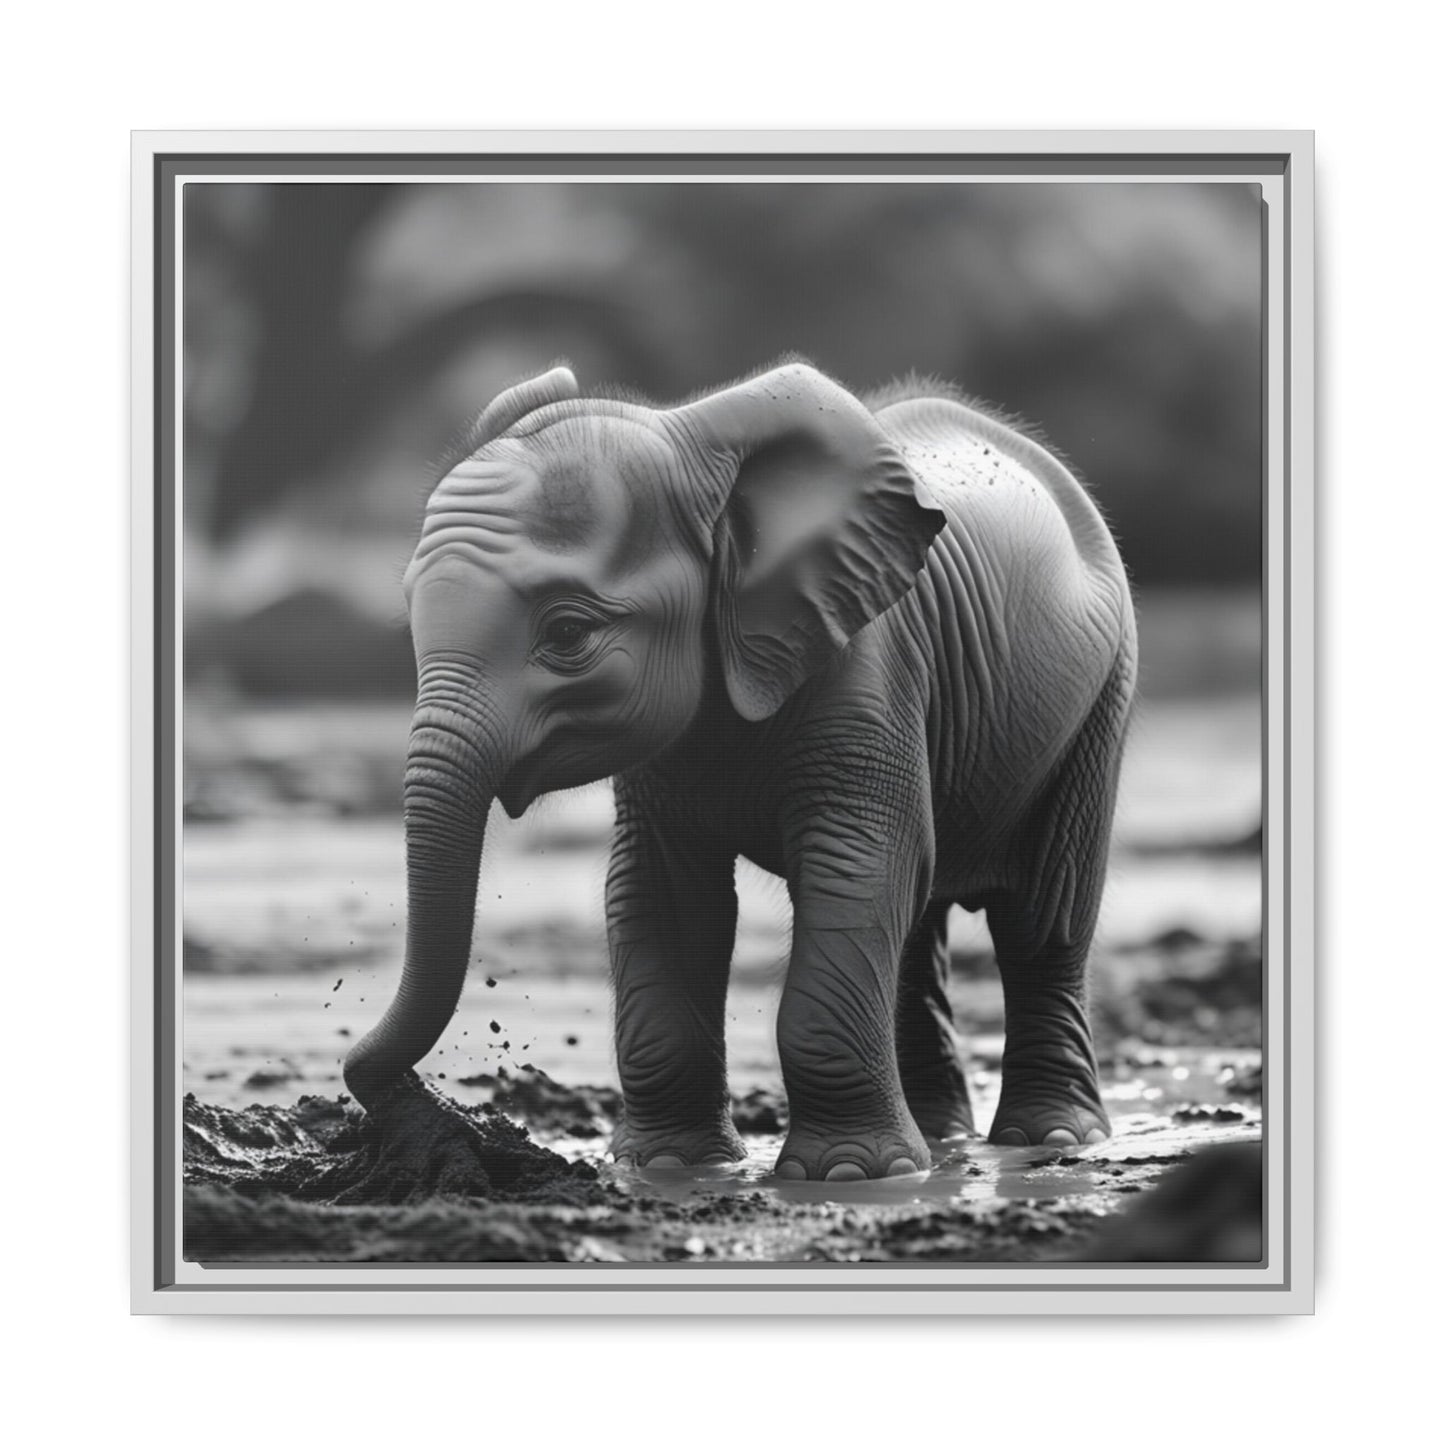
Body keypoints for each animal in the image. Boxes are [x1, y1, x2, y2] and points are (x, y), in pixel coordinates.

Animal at [343, 359, 1137, 1182]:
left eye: (567, 633)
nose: (417, 1104)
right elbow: (662, 893)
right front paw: (668, 1166)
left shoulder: (868, 665)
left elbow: (856, 865)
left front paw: (847, 1175)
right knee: (920, 925)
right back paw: (941, 1141)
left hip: (1101, 695)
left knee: (1042, 916)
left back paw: (1050, 1138)